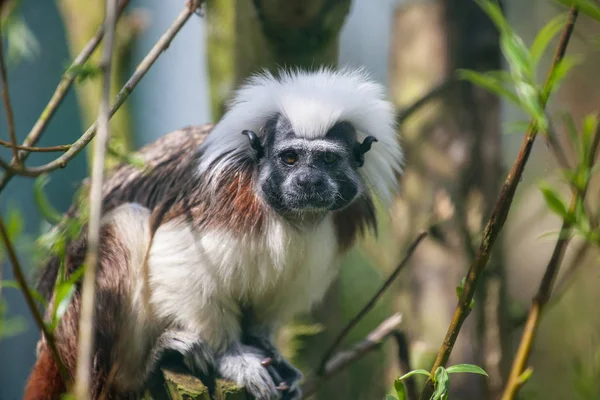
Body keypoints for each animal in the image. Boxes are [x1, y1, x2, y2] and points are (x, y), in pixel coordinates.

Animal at [25, 69, 406, 400]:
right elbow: (178, 258)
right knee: (126, 225)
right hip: (76, 331)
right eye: (291, 158)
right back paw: (141, 367)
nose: (307, 181)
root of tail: (50, 338)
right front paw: (232, 356)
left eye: (327, 161)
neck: (293, 218)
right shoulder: (222, 201)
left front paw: (266, 346)